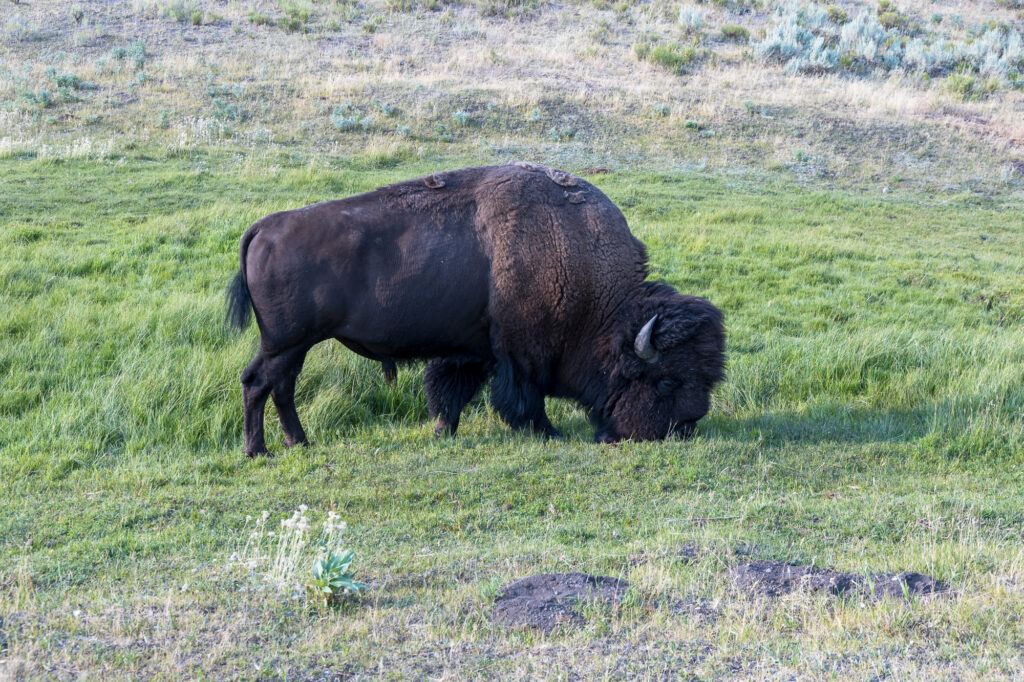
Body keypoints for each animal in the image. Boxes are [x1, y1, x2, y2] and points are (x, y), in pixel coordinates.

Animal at [226, 162, 724, 455]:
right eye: (665, 381)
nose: (685, 427)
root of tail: (263, 228)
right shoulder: (522, 355)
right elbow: (524, 397)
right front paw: (548, 432)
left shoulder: (473, 350)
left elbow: (451, 390)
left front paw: (444, 430)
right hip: (287, 343)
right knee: (260, 384)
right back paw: (261, 450)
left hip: (292, 346)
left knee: (278, 387)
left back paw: (297, 443)